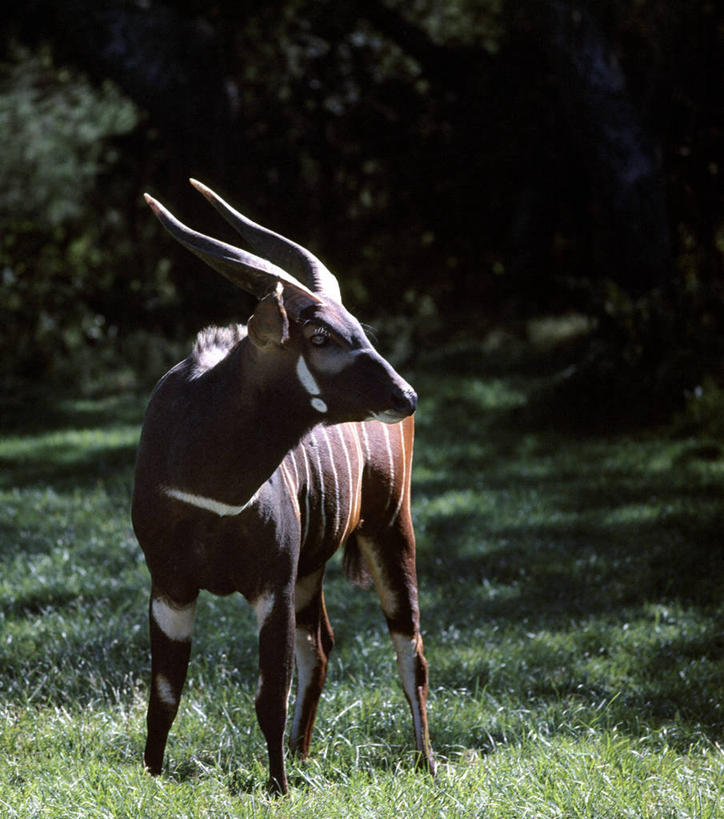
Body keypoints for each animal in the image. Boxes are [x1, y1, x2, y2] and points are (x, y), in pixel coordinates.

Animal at [132, 179, 432, 796]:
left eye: (355, 325)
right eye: (318, 332)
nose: (406, 395)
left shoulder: (271, 585)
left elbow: (269, 693)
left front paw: (278, 788)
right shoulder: (170, 586)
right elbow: (165, 695)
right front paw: (152, 777)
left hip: (389, 528)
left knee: (408, 645)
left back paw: (427, 765)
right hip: (312, 568)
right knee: (321, 643)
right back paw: (302, 752)